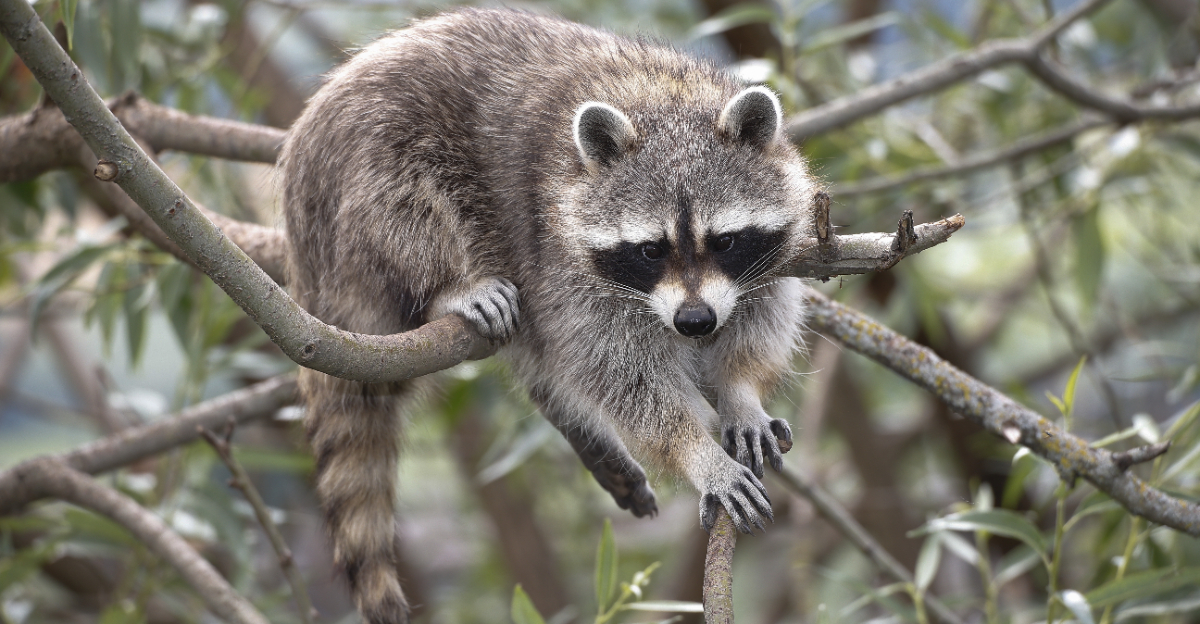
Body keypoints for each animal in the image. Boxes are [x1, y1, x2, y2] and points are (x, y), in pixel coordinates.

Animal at [281, 8, 818, 622]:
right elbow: (618, 375)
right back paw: (448, 286)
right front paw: (696, 452)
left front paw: (739, 390)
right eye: (651, 249)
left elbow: (761, 316)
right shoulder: (559, 255)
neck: (665, 97)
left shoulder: (777, 254)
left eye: (725, 241)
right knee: (402, 205)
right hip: (364, 173)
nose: (695, 323)